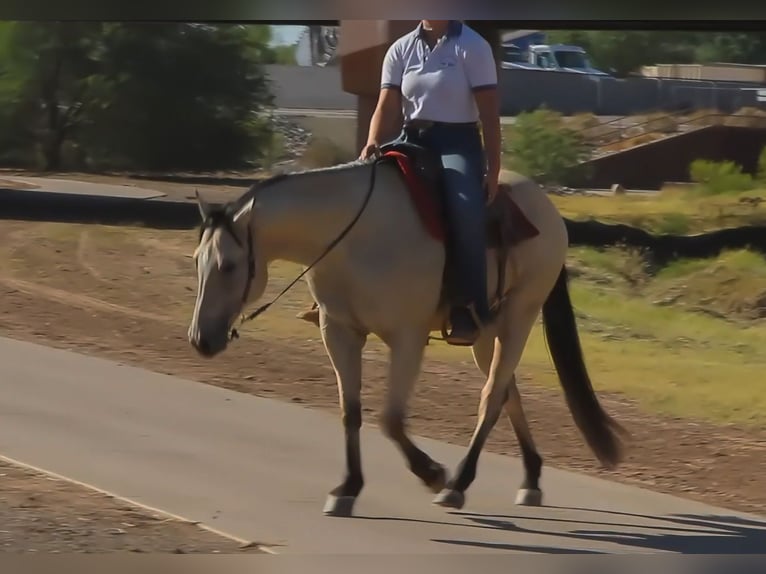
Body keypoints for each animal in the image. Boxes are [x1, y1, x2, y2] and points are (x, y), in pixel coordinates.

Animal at [187, 148, 627, 517]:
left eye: (228, 265)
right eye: (196, 261)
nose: (200, 339)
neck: (354, 237)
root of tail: (546, 208)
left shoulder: (407, 338)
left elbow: (391, 419)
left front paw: (432, 473)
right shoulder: (339, 332)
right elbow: (351, 412)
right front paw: (348, 487)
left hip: (520, 315)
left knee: (491, 397)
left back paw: (458, 483)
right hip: (487, 331)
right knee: (506, 392)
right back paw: (530, 478)